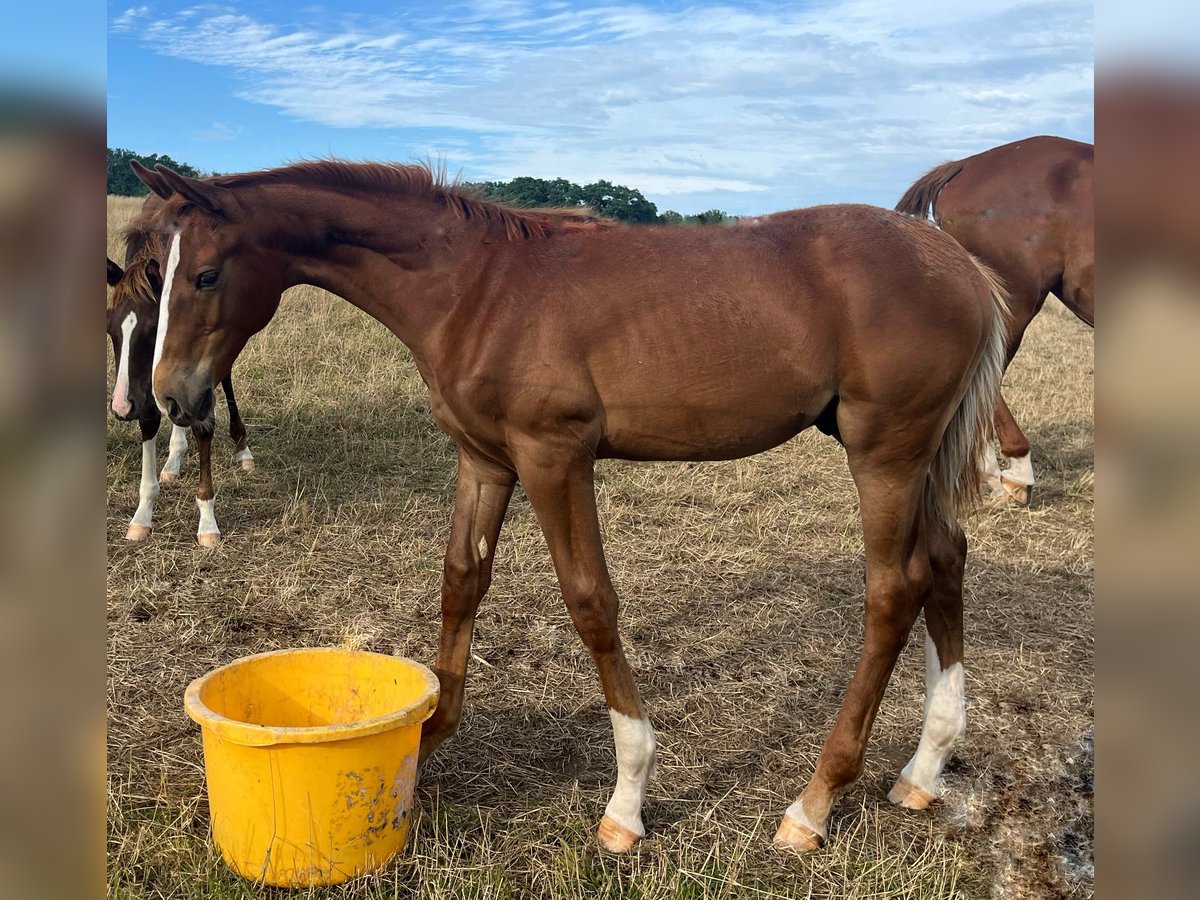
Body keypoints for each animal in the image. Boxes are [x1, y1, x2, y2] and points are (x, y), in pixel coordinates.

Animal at [136, 164, 1008, 859]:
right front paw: (427, 738)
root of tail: (961, 266)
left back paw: (814, 804)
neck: (475, 287)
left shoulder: (554, 458)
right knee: (946, 562)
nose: (170, 399)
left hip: (884, 454)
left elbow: (591, 604)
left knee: (893, 593)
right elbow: (461, 581)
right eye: (154, 272)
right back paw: (924, 768)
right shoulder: (485, 460)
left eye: (205, 275)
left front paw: (627, 798)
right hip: (918, 460)